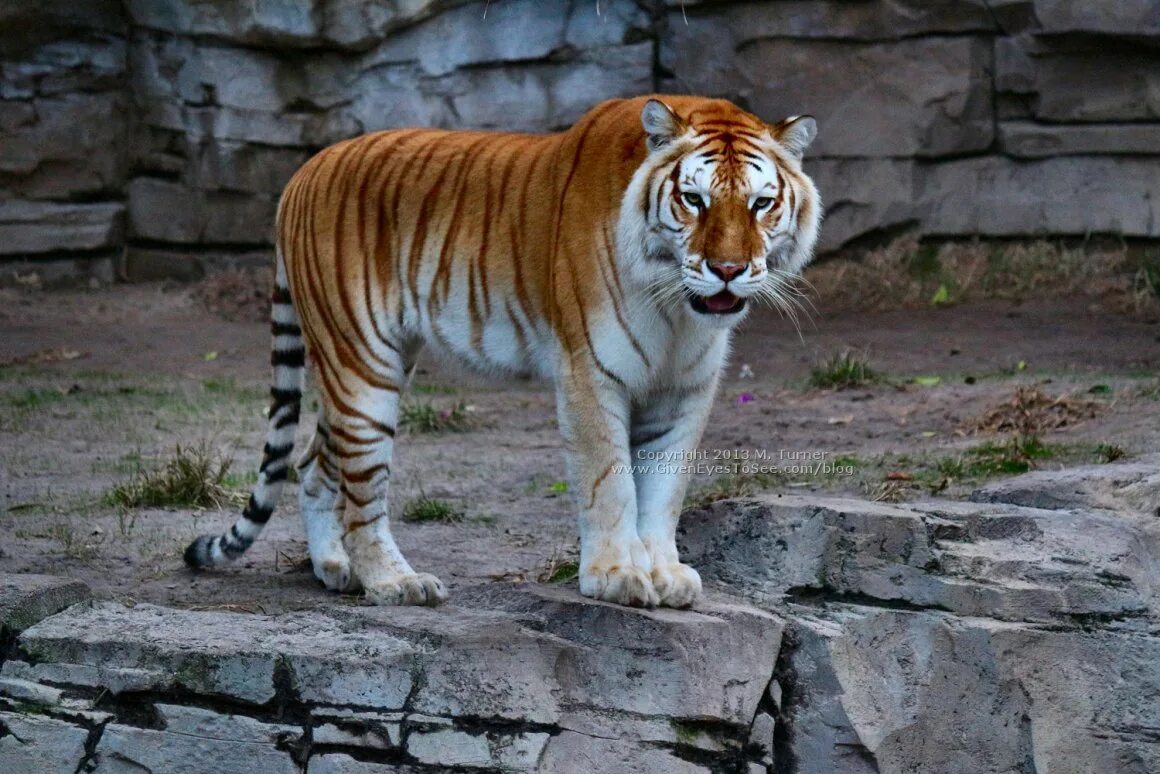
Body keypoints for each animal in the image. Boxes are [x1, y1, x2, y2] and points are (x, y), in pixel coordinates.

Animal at [185, 93, 821, 608]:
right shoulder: (591, 370)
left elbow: (665, 487)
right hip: (362, 364)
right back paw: (392, 583)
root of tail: (304, 170)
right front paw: (616, 576)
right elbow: (611, 481)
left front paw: (664, 574)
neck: (677, 310)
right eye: (693, 199)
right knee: (361, 488)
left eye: (761, 204)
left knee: (314, 465)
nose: (728, 270)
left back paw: (335, 567)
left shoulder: (686, 385)